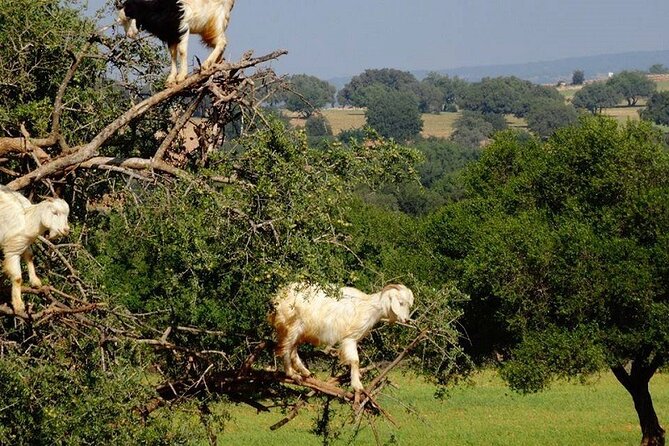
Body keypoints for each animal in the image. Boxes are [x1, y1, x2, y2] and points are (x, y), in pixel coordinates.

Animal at [0, 186, 69, 316]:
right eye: (54, 212)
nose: (66, 230)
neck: (28, 220)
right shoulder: (12, 251)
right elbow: (17, 278)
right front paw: (18, 305)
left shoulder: (24, 244)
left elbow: (30, 256)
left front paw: (35, 282)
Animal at [270, 282, 414, 390]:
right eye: (400, 302)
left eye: (408, 304)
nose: (406, 320)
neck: (369, 307)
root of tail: (279, 296)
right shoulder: (350, 338)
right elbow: (355, 360)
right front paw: (357, 386)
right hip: (291, 326)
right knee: (286, 350)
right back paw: (293, 374)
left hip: (299, 331)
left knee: (293, 350)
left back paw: (305, 372)